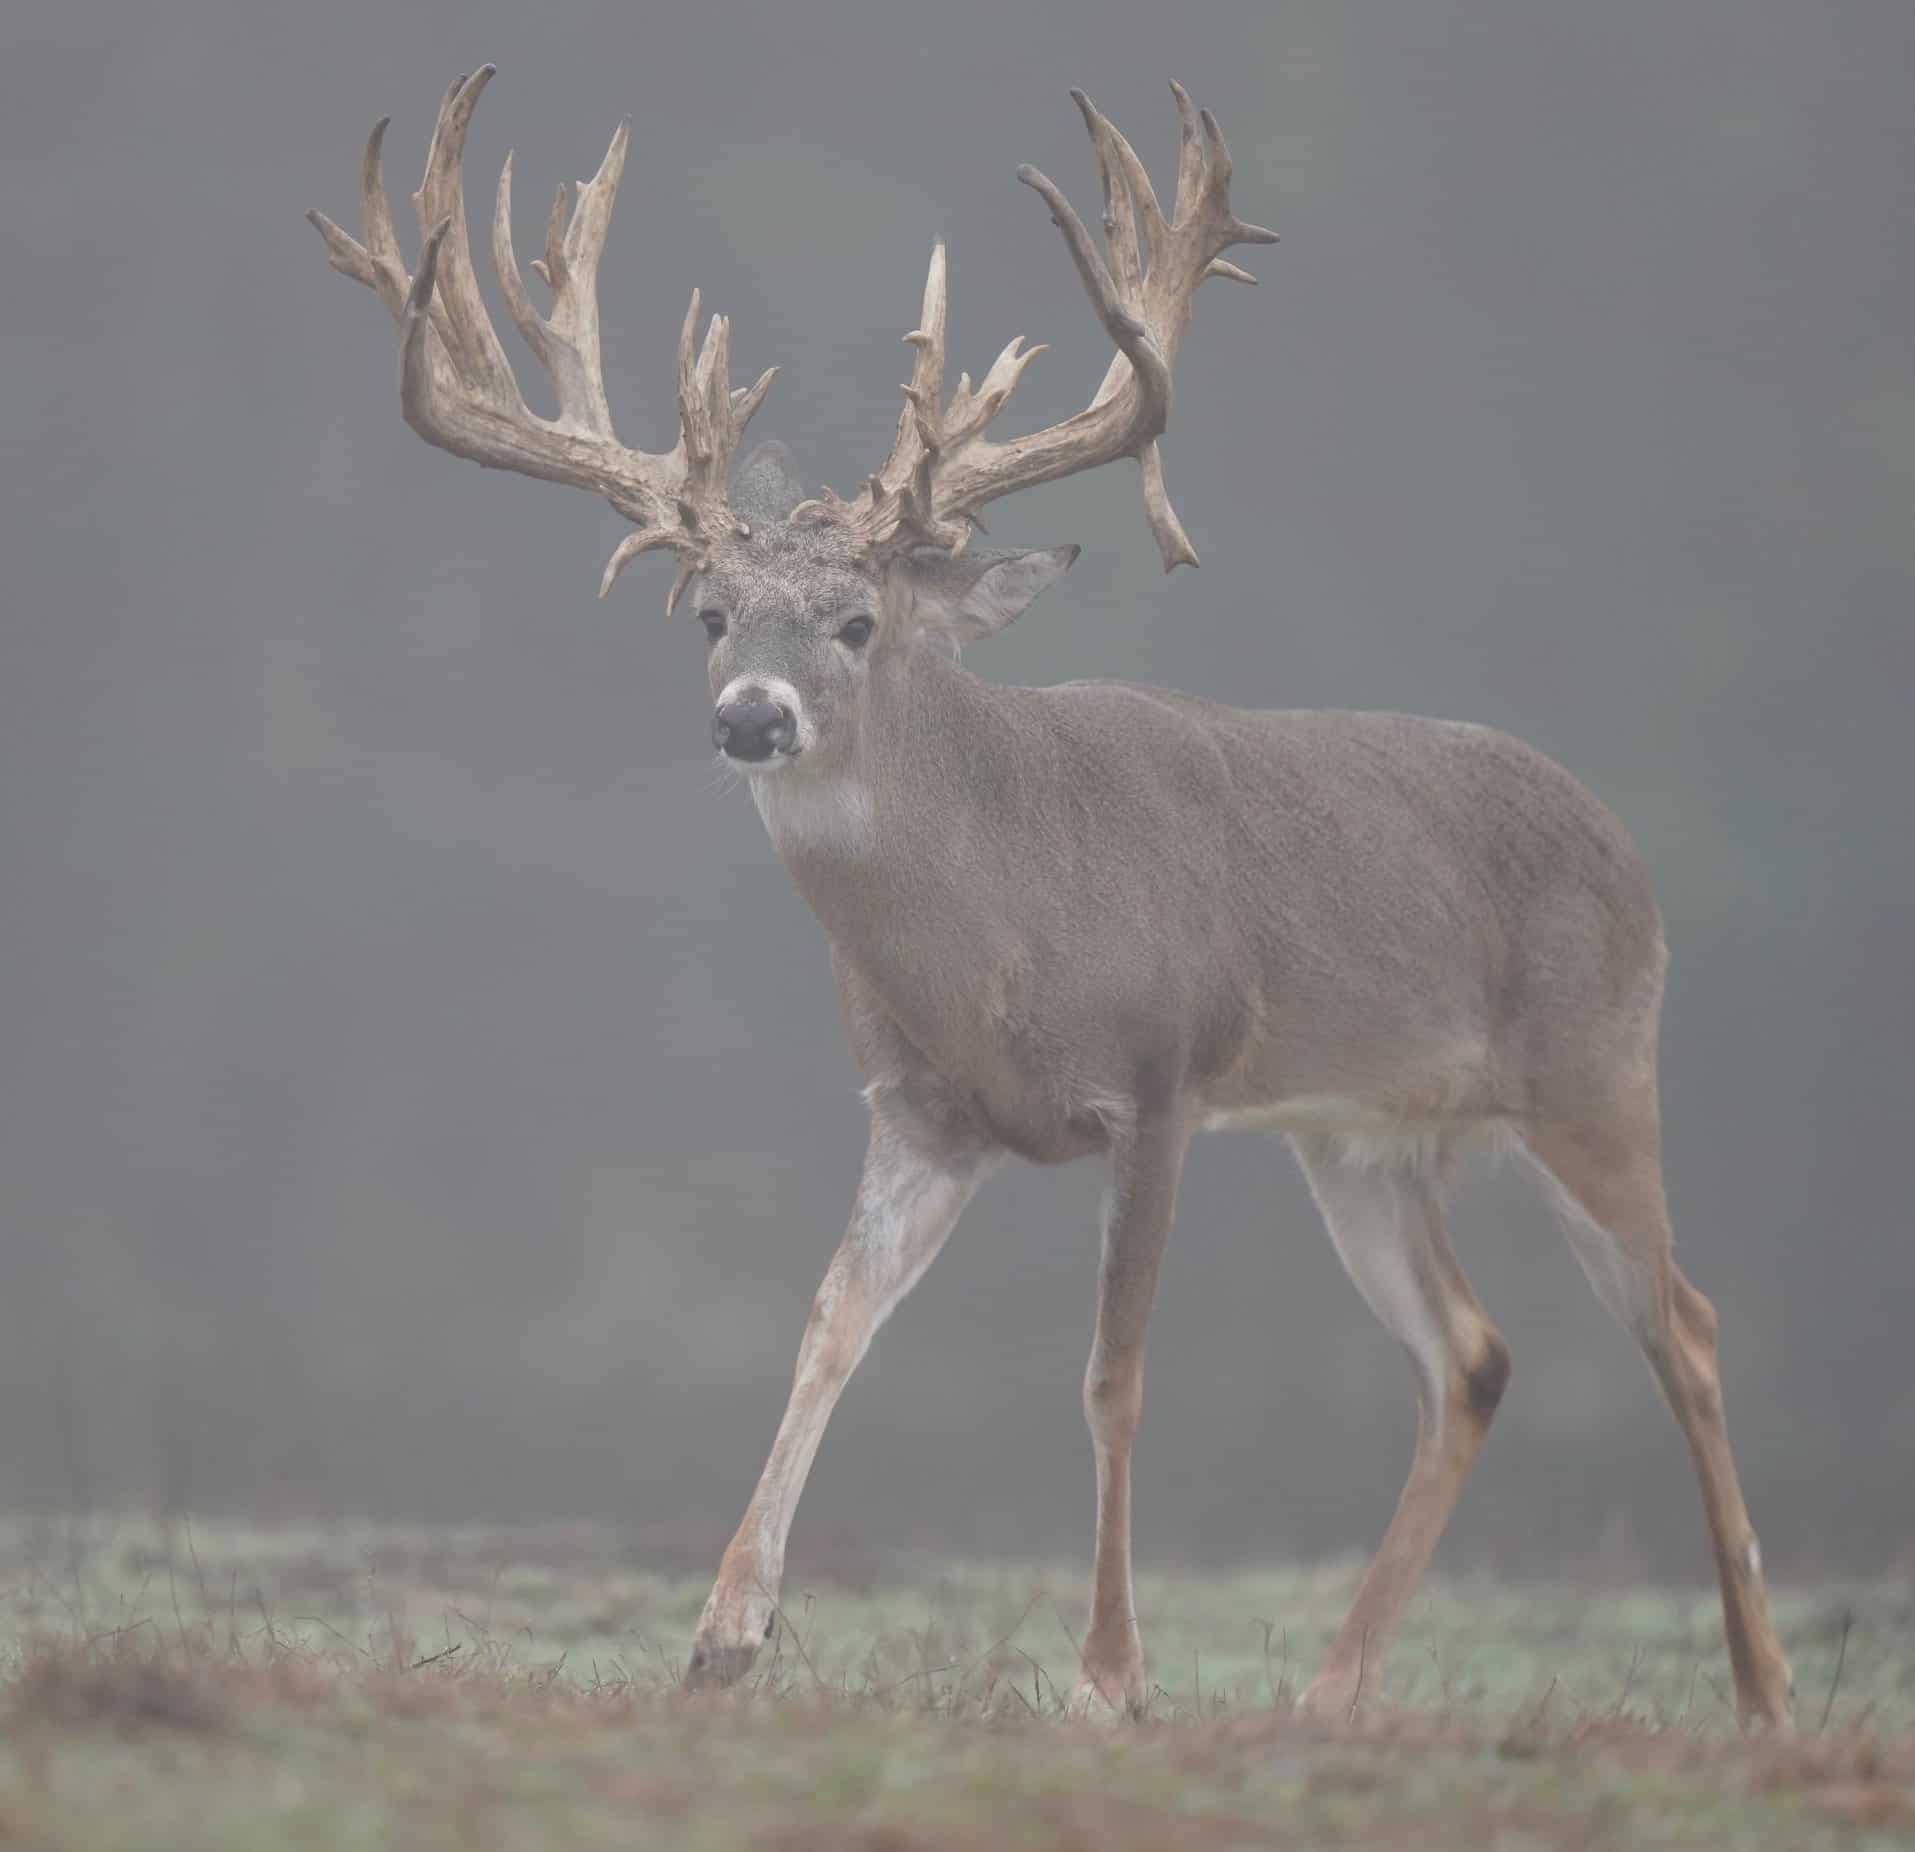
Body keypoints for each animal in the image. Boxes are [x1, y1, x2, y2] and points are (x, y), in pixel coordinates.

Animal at [309, 66, 1795, 1728]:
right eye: (707, 615)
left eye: (856, 619)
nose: (750, 717)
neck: (998, 938)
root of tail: (1621, 845)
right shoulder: (918, 1110)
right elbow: (825, 1325)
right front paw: (721, 1636)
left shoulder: (1158, 1082)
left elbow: (1110, 1375)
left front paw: (1105, 1680)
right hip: (1361, 1137)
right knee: (1469, 1353)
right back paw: (1330, 1689)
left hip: (1594, 1065)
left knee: (1683, 1324)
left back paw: (1761, 1695)